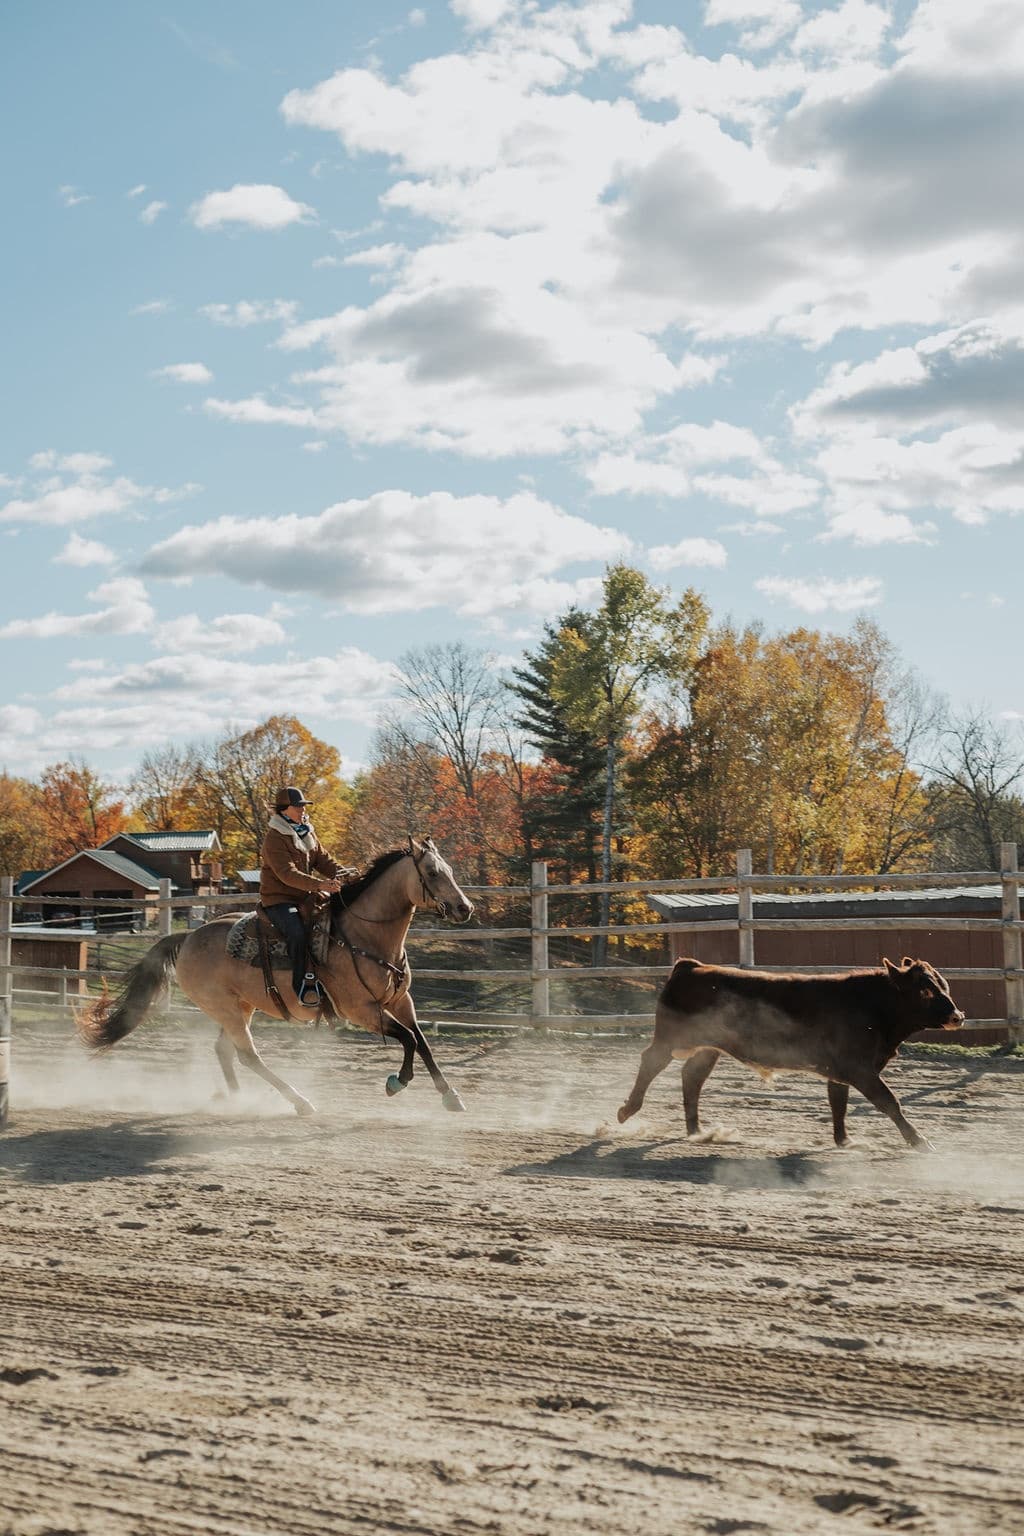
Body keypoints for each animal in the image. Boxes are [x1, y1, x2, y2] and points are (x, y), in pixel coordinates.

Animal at [616, 955, 965, 1150]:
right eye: (925, 989)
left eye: (943, 983)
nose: (957, 1016)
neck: (871, 1004)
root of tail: (691, 967)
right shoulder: (860, 1070)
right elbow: (890, 1103)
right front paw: (920, 1142)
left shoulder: (842, 1071)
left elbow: (838, 1103)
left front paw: (844, 1140)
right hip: (671, 1038)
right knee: (651, 1062)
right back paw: (627, 1110)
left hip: (708, 1049)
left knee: (692, 1077)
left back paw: (696, 1130)